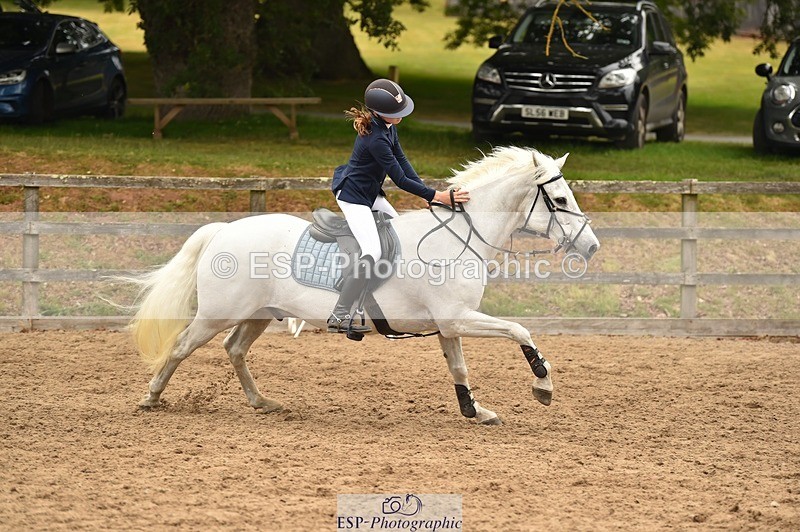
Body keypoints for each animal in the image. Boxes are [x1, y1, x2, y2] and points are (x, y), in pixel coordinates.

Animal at [126, 146, 599, 425]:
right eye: (559, 200)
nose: (591, 246)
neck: (458, 236)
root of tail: (224, 230)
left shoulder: (449, 323)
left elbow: (459, 367)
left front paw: (473, 410)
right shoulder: (459, 317)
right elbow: (520, 330)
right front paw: (543, 386)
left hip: (259, 313)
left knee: (234, 349)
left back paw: (263, 403)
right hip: (217, 314)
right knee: (182, 346)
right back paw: (150, 398)